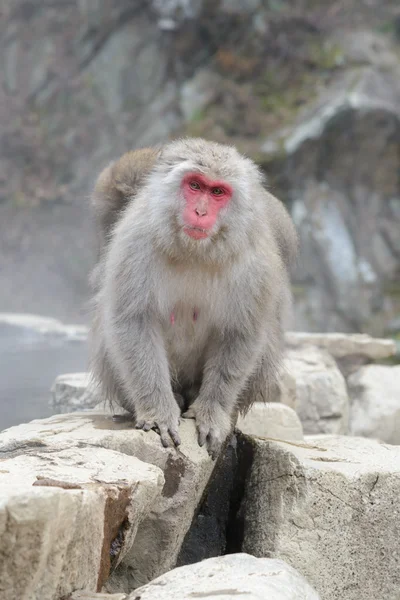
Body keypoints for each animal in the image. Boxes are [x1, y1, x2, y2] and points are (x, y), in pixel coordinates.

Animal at [90, 138, 296, 458]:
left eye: (217, 192)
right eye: (195, 185)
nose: (200, 212)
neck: (195, 252)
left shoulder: (256, 261)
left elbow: (241, 332)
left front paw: (210, 412)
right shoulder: (136, 242)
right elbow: (134, 320)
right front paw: (158, 411)